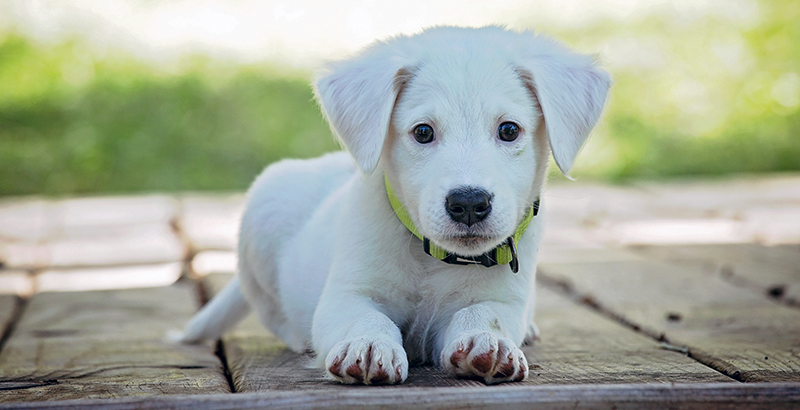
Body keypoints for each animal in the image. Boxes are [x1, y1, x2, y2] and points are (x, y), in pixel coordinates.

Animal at [180, 25, 608, 384]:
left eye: (508, 130)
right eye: (423, 132)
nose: (469, 203)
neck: (432, 258)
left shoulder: (503, 299)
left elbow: (483, 313)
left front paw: (487, 342)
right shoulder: (346, 295)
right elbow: (366, 318)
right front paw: (369, 345)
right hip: (264, 212)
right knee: (275, 315)